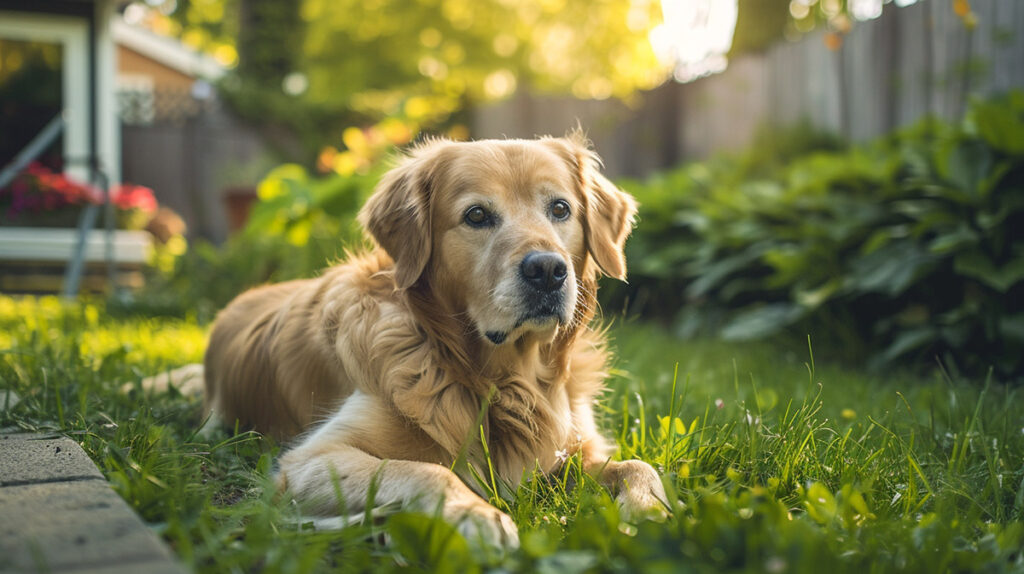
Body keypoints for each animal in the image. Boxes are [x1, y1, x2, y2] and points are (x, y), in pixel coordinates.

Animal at [159, 133, 667, 544]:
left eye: (560, 209)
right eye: (477, 215)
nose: (547, 270)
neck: (501, 379)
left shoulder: (575, 449)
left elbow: (640, 466)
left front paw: (652, 513)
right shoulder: (308, 460)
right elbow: (428, 471)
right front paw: (478, 518)